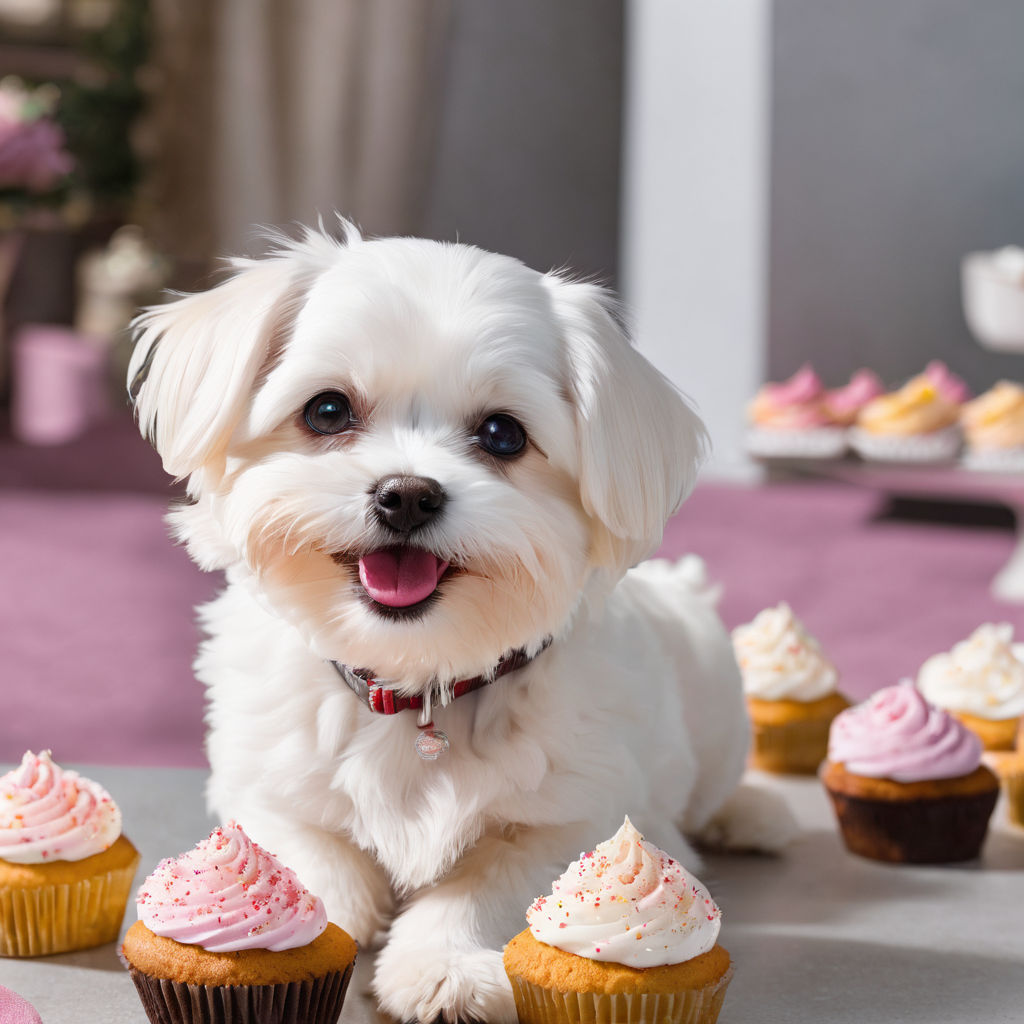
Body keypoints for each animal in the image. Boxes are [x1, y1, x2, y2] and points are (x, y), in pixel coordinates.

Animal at [130, 220, 782, 1019]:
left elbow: (492, 882)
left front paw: (446, 964)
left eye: (503, 434)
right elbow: (310, 852)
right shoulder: (269, 786)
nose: (407, 494)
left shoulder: (576, 814)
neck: (420, 680)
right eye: (327, 411)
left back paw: (752, 813)